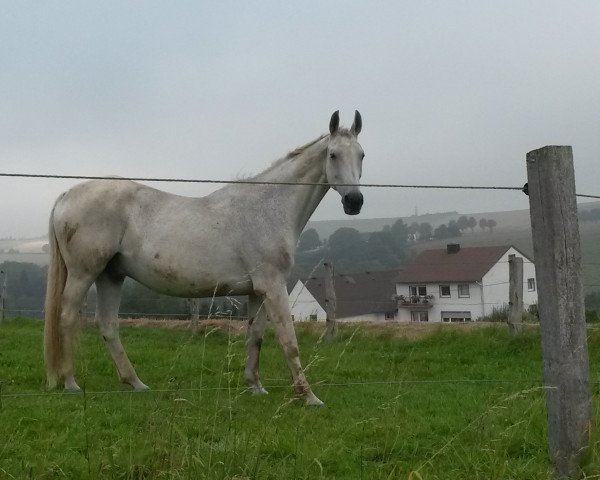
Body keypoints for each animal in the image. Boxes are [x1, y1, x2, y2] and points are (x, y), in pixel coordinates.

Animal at [44, 109, 364, 404]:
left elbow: (256, 335)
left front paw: (255, 386)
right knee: (68, 316)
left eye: (361, 155)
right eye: (333, 154)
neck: (267, 208)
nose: (354, 201)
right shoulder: (274, 286)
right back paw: (71, 382)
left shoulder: (257, 291)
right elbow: (289, 340)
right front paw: (308, 396)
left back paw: (135, 383)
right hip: (84, 273)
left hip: (111, 276)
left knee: (108, 325)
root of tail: (67, 195)